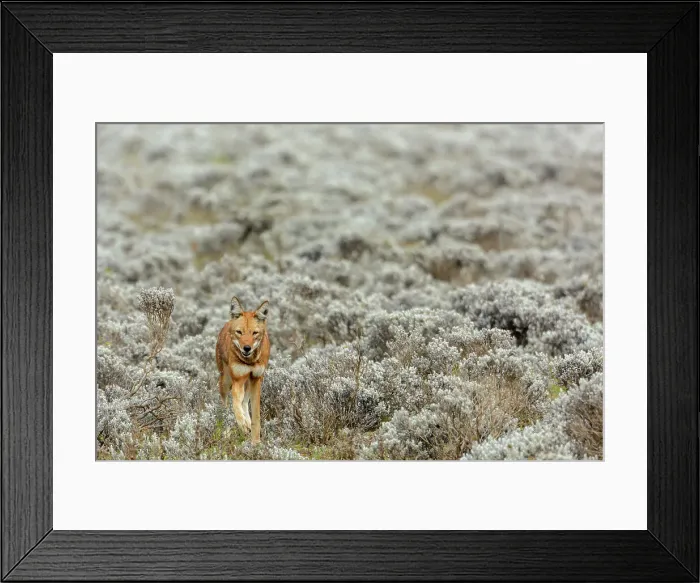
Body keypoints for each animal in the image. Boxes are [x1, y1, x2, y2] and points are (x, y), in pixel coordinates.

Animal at [215, 296, 270, 444]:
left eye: (254, 333)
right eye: (239, 332)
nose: (247, 348)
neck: (250, 361)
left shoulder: (256, 379)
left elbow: (256, 416)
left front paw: (256, 442)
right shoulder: (238, 380)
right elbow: (235, 405)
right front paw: (242, 425)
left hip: (250, 383)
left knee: (245, 402)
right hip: (225, 382)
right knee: (226, 407)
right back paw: (227, 432)